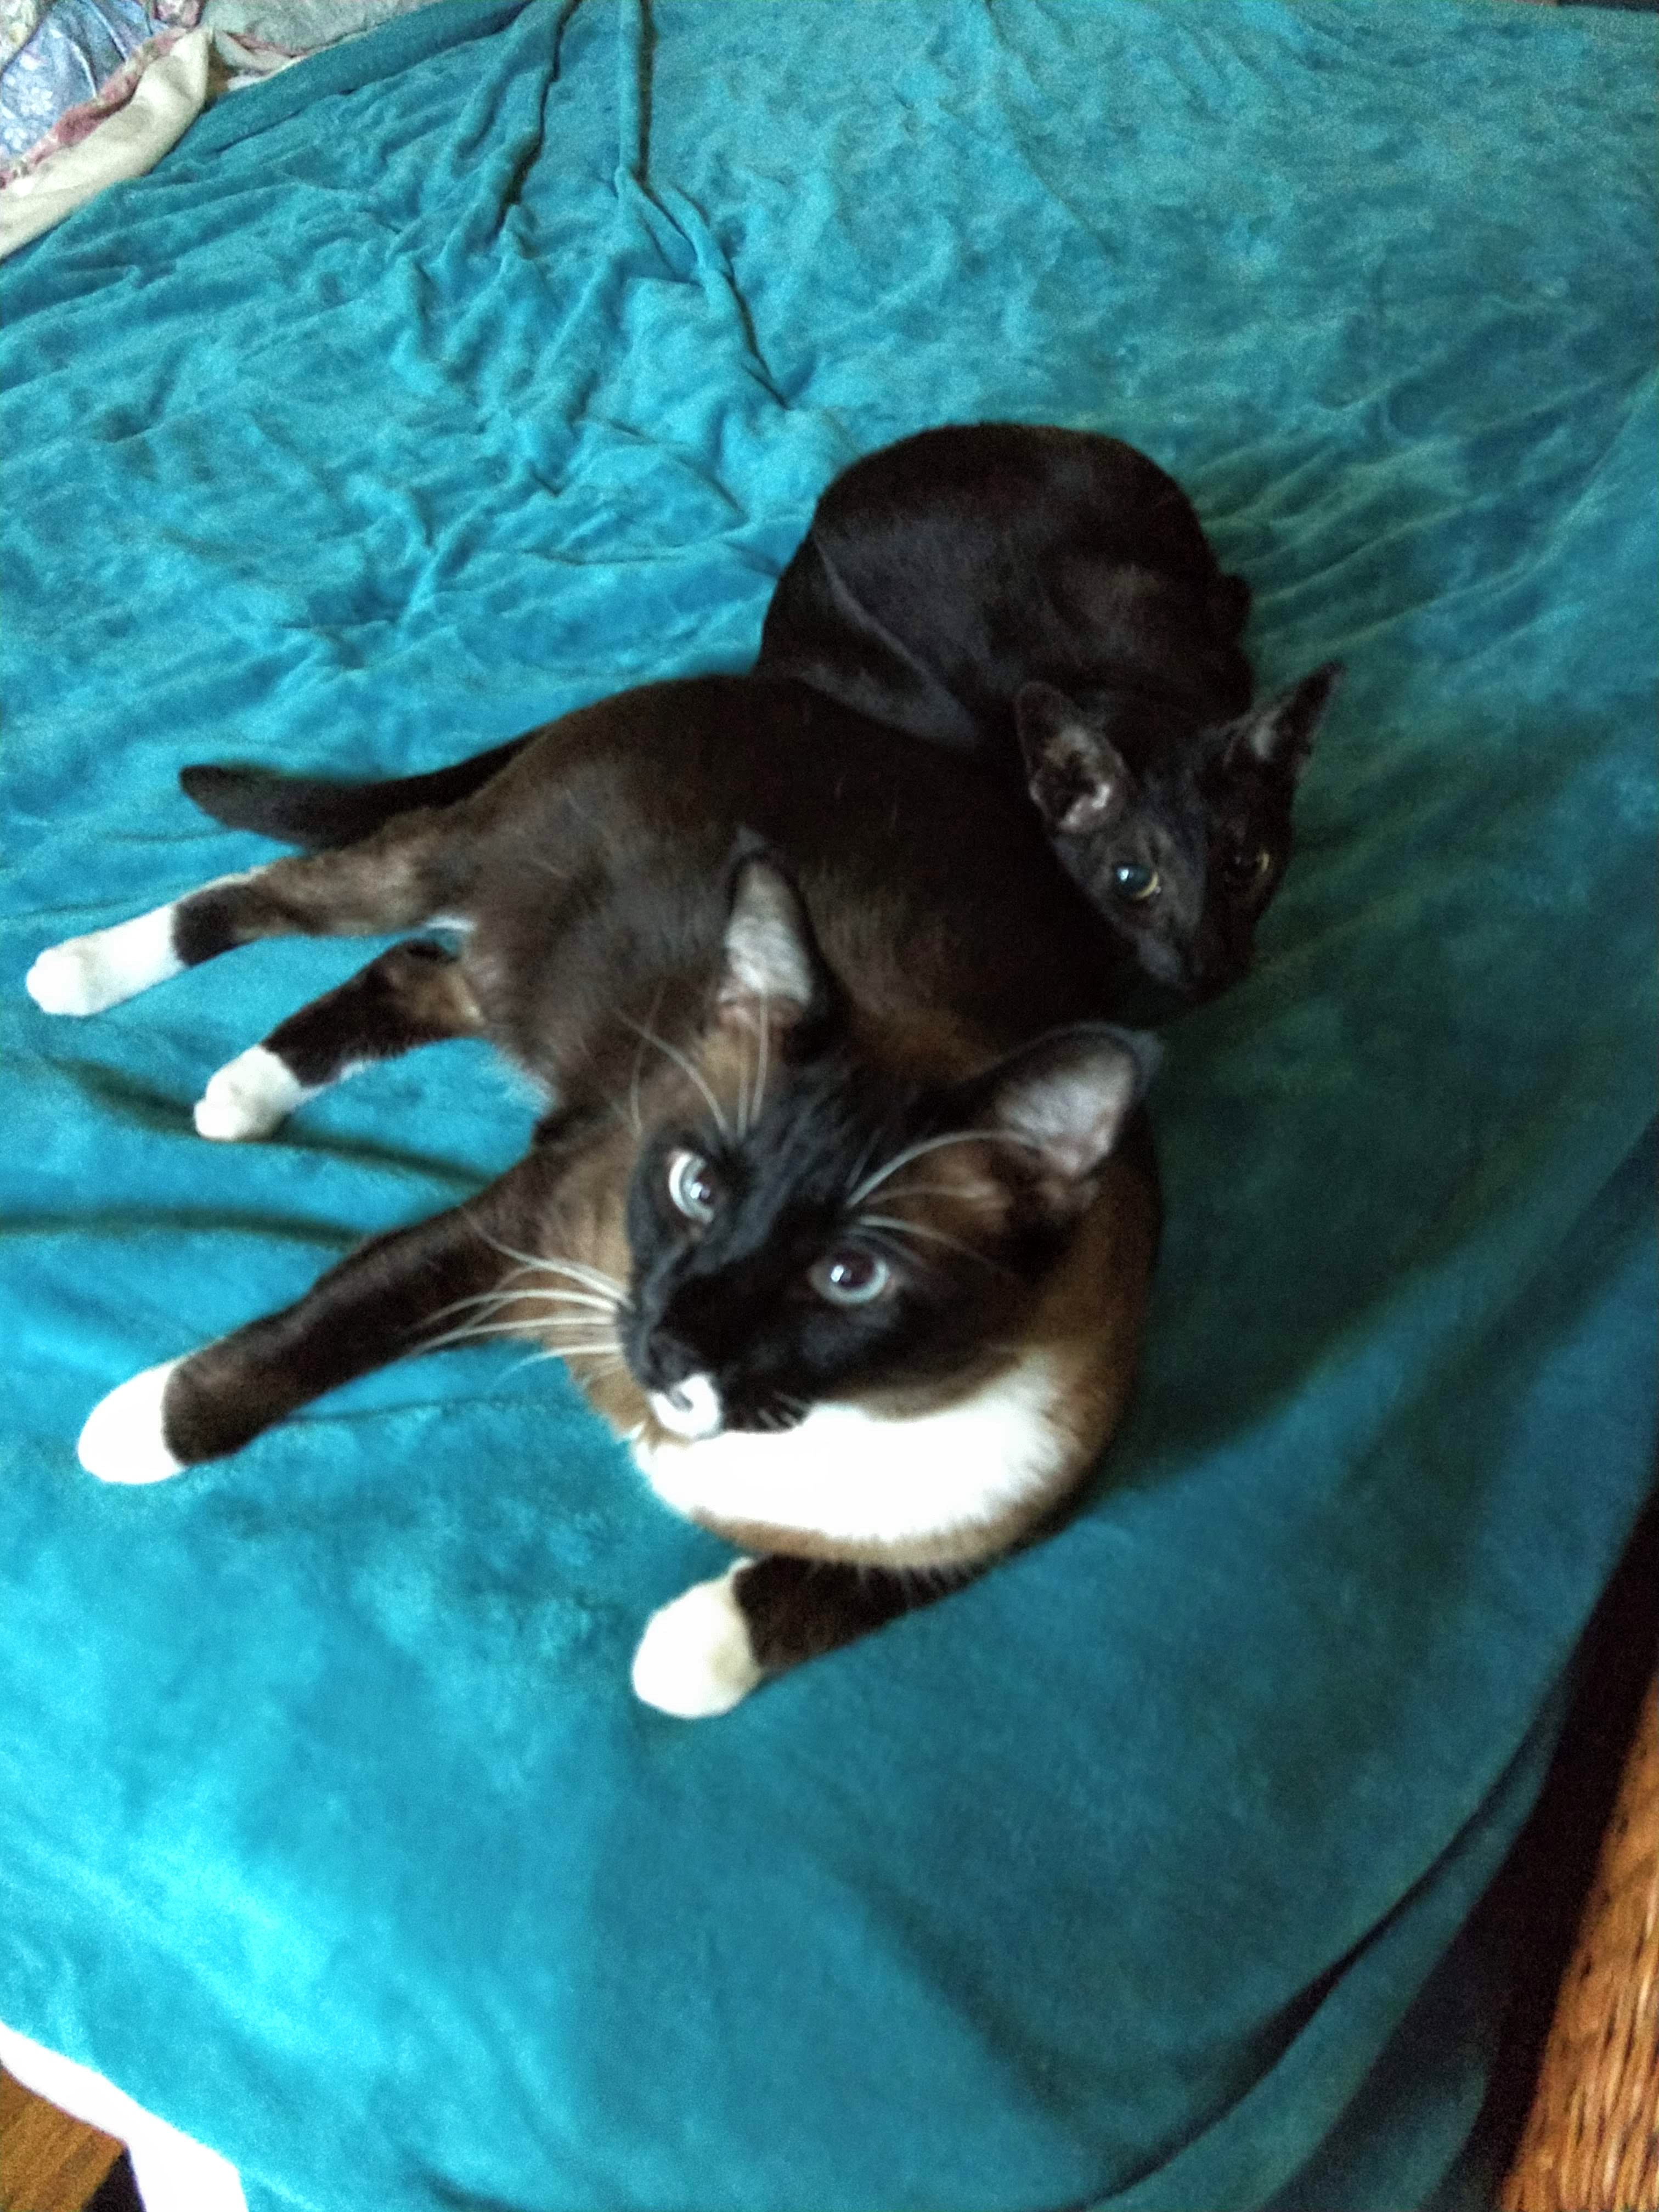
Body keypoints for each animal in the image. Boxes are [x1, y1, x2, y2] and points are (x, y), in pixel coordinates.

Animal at [28, 676, 1162, 1718]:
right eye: (694, 1186)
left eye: (850, 1275)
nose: (666, 1343)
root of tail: (749, 684)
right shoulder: (522, 1230)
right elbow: (324, 1328)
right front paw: (139, 1427)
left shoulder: (1028, 1505)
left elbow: (728, 1651)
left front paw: (685, 1640)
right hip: (454, 864)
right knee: (286, 892)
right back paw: (84, 971)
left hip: (524, 975)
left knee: (412, 971)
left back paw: (245, 1090)